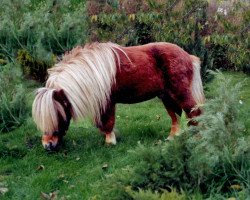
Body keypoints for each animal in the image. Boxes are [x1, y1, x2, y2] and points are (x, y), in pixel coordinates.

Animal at [32, 41, 204, 150]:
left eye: (57, 115)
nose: (47, 146)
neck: (93, 73)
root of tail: (188, 56)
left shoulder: (107, 103)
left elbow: (108, 123)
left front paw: (110, 142)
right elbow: (102, 124)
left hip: (180, 93)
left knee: (194, 113)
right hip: (166, 96)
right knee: (175, 116)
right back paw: (172, 138)